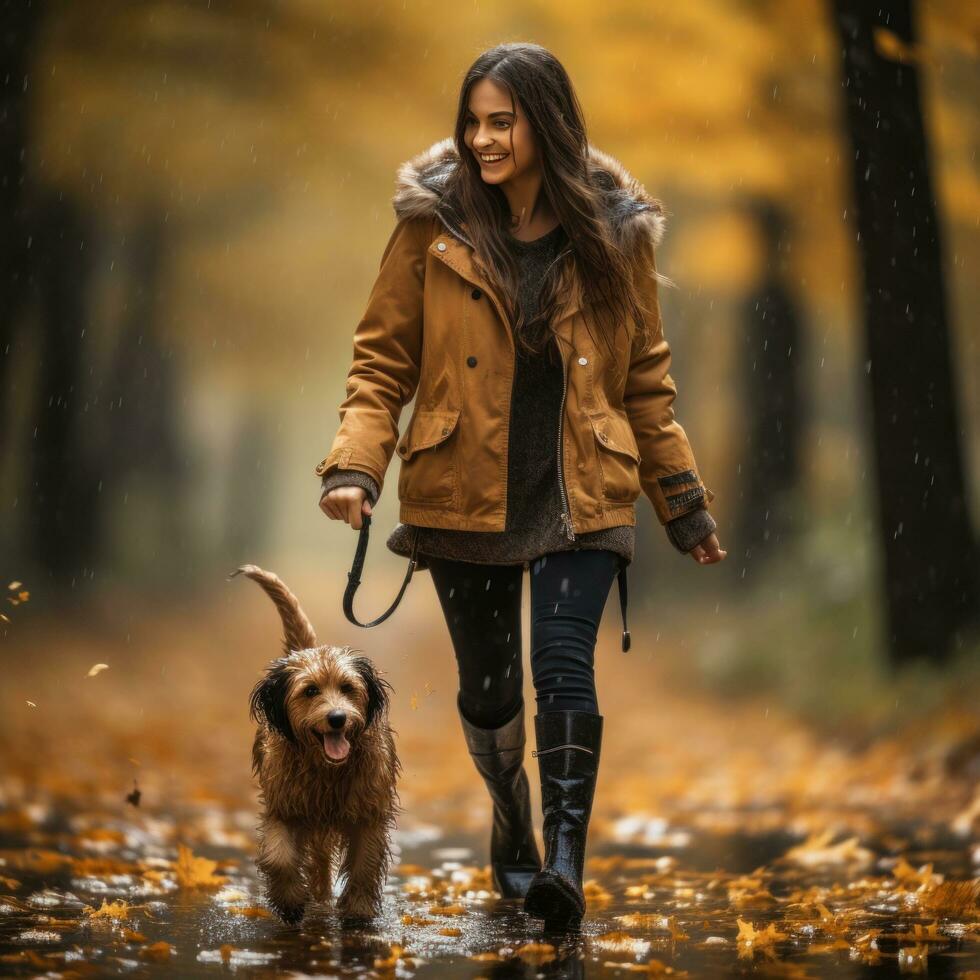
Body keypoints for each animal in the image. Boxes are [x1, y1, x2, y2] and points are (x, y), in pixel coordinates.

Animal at [232, 564, 400, 924]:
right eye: (310, 691)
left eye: (348, 687)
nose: (337, 718)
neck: (327, 770)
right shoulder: (285, 806)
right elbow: (279, 857)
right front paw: (290, 901)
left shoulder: (368, 813)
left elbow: (365, 862)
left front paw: (358, 909)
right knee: (318, 860)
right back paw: (318, 896)